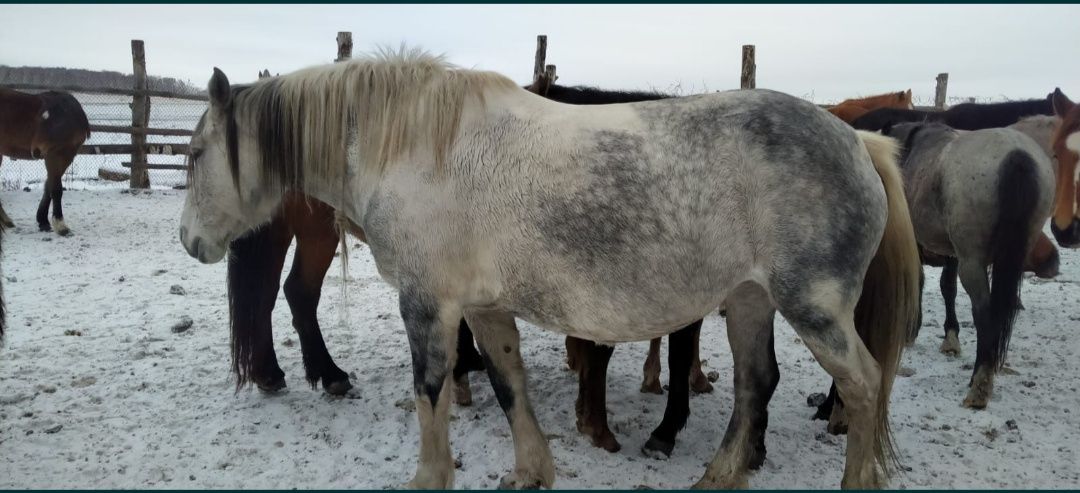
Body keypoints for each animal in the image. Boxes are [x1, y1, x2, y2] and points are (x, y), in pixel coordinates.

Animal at [0, 87, 89, 235]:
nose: (35, 151)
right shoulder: (55, 154)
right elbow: (56, 189)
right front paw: (60, 225)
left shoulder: (67, 155)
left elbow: (49, 186)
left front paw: (43, 221)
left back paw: (6, 221)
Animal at [177, 51, 920, 488]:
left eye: (194, 152)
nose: (189, 240)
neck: (418, 147)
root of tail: (859, 139)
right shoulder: (482, 307)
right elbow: (510, 386)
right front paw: (531, 471)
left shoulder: (428, 305)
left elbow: (430, 393)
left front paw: (430, 478)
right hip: (747, 300)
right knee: (755, 384)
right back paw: (718, 475)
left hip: (813, 306)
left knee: (861, 384)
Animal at [881, 122, 1049, 408]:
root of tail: (1016, 154)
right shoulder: (952, 253)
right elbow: (947, 287)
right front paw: (951, 337)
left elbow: (921, 280)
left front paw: (912, 330)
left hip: (973, 262)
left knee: (984, 313)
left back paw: (979, 383)